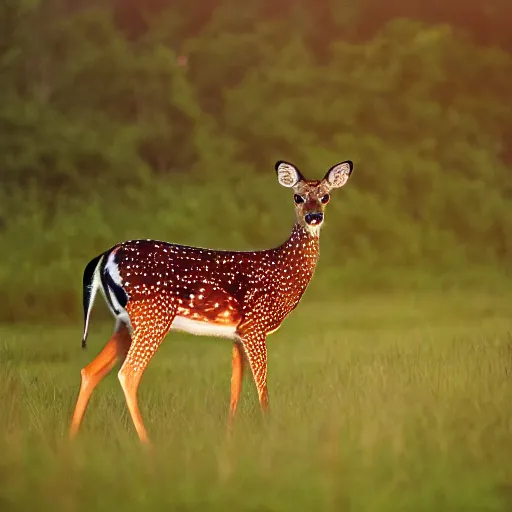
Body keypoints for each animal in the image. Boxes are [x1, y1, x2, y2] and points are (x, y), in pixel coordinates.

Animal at [70, 161, 354, 444]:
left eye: (325, 196)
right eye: (298, 197)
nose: (313, 217)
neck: (282, 270)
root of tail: (106, 255)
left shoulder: (238, 333)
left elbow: (235, 388)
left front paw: (229, 438)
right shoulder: (255, 325)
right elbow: (262, 387)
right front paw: (271, 432)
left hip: (126, 323)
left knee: (90, 371)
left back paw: (70, 441)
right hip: (152, 315)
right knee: (127, 374)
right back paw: (148, 444)